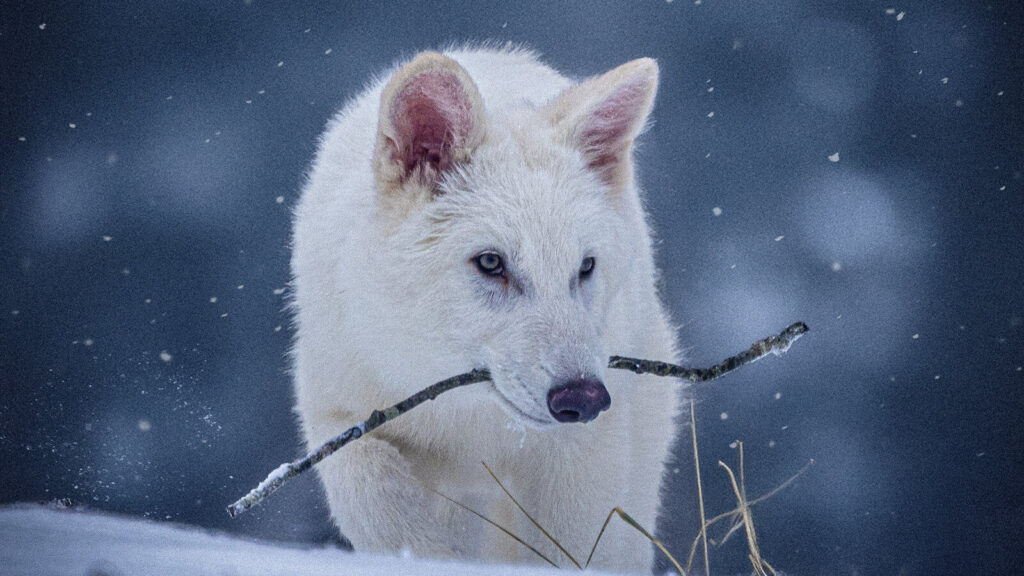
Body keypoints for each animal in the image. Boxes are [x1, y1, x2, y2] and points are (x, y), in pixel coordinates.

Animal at [291, 46, 682, 573]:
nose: (583, 398)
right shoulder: (339, 416)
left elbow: (568, 549)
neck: (469, 418)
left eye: (585, 267)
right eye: (491, 262)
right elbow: (381, 503)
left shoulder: (580, 455)